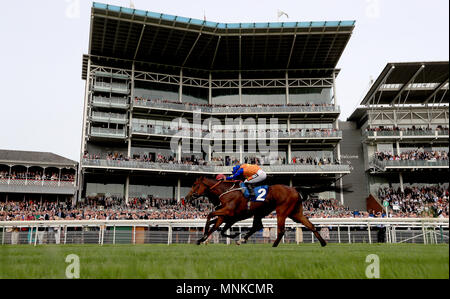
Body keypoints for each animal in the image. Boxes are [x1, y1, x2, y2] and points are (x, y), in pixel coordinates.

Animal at [185, 177, 350, 247]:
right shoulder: (227, 216)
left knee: (280, 229)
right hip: (294, 213)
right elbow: (216, 226)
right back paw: (322, 243)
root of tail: (294, 189)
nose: (186, 198)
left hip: (282, 210)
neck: (226, 192)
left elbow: (210, 218)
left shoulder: (228, 213)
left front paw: (203, 237)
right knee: (310, 225)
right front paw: (202, 239)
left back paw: (274, 244)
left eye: (194, 185)